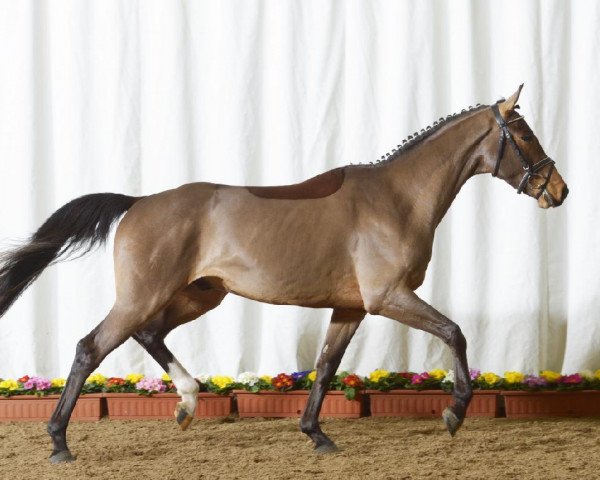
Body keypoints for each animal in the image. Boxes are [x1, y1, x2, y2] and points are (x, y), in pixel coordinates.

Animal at [0, 85, 568, 462]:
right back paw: (59, 442)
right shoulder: (388, 297)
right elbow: (455, 332)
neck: (397, 199)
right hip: (145, 294)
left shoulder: (352, 306)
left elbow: (325, 365)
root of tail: (137, 203)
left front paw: (317, 434)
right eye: (523, 133)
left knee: (149, 334)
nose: (558, 191)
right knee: (90, 347)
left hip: (199, 295)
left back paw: (186, 403)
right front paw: (453, 415)